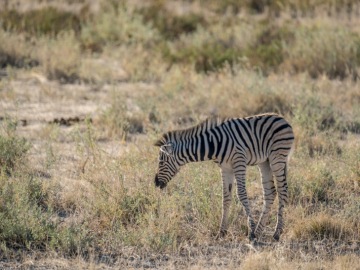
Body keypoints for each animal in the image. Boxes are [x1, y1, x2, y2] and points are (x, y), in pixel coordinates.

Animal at [153, 113, 294, 242]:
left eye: (161, 161)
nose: (156, 183)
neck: (213, 144)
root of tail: (282, 118)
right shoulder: (226, 168)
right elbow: (225, 198)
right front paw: (221, 232)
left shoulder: (239, 161)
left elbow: (241, 194)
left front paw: (251, 230)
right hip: (264, 162)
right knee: (270, 192)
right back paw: (259, 232)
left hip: (277, 158)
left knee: (282, 191)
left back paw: (276, 233)